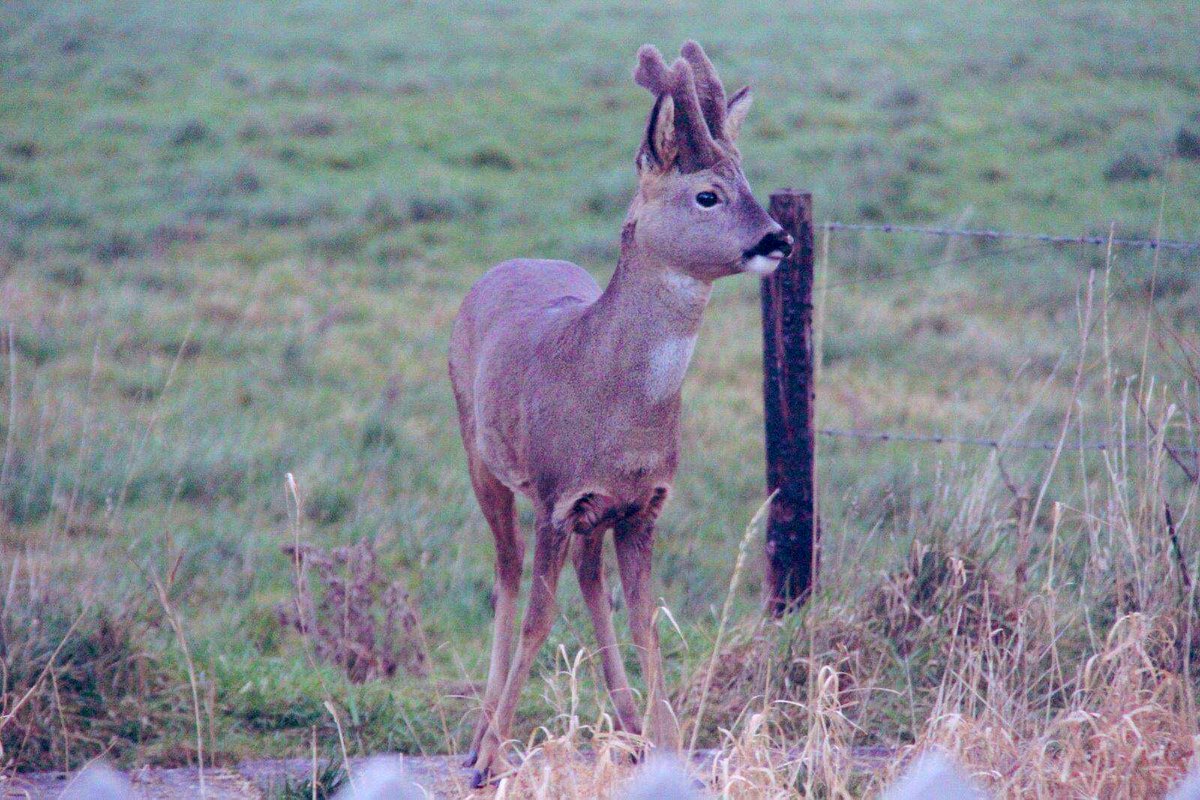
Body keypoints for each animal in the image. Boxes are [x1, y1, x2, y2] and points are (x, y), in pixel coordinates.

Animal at [448, 40, 792, 786]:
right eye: (707, 193)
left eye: (751, 181)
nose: (778, 239)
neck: (615, 409)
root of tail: (505, 264)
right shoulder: (555, 494)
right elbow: (538, 619)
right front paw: (492, 757)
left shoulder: (642, 504)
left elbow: (643, 620)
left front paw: (671, 746)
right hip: (480, 455)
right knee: (506, 574)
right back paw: (480, 738)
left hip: (592, 512)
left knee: (588, 578)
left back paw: (630, 729)